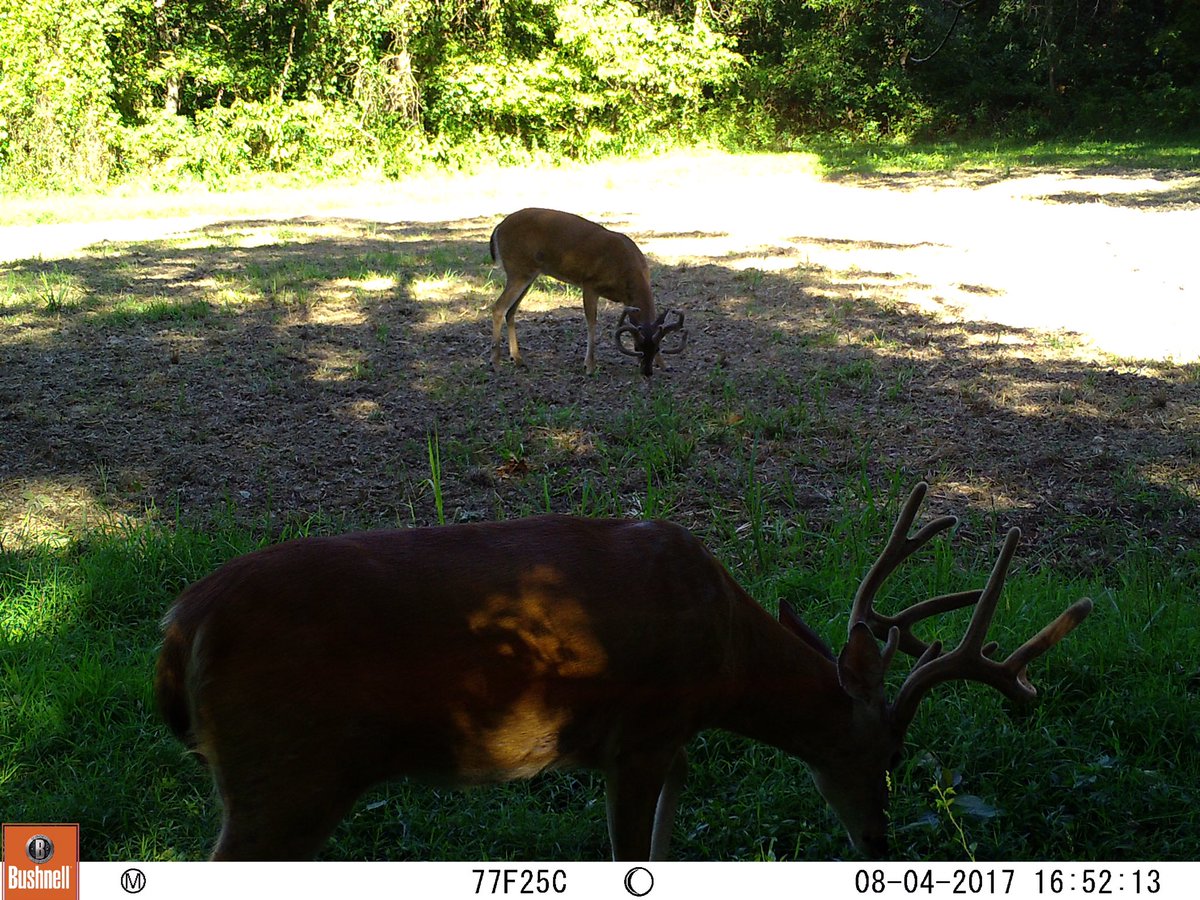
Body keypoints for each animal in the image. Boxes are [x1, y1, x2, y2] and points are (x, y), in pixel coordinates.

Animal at [154, 483, 1092, 860]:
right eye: (889, 754)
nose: (880, 842)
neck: (725, 659)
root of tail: (181, 624)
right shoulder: (637, 736)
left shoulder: (669, 742)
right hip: (286, 774)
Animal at [488, 207, 687, 378]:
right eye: (638, 347)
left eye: (657, 348)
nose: (647, 372)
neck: (627, 270)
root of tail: (499, 227)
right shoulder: (590, 284)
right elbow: (592, 322)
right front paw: (589, 365)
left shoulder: (627, 299)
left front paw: (664, 364)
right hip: (518, 269)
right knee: (498, 307)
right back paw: (495, 363)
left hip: (529, 274)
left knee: (511, 311)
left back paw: (517, 359)